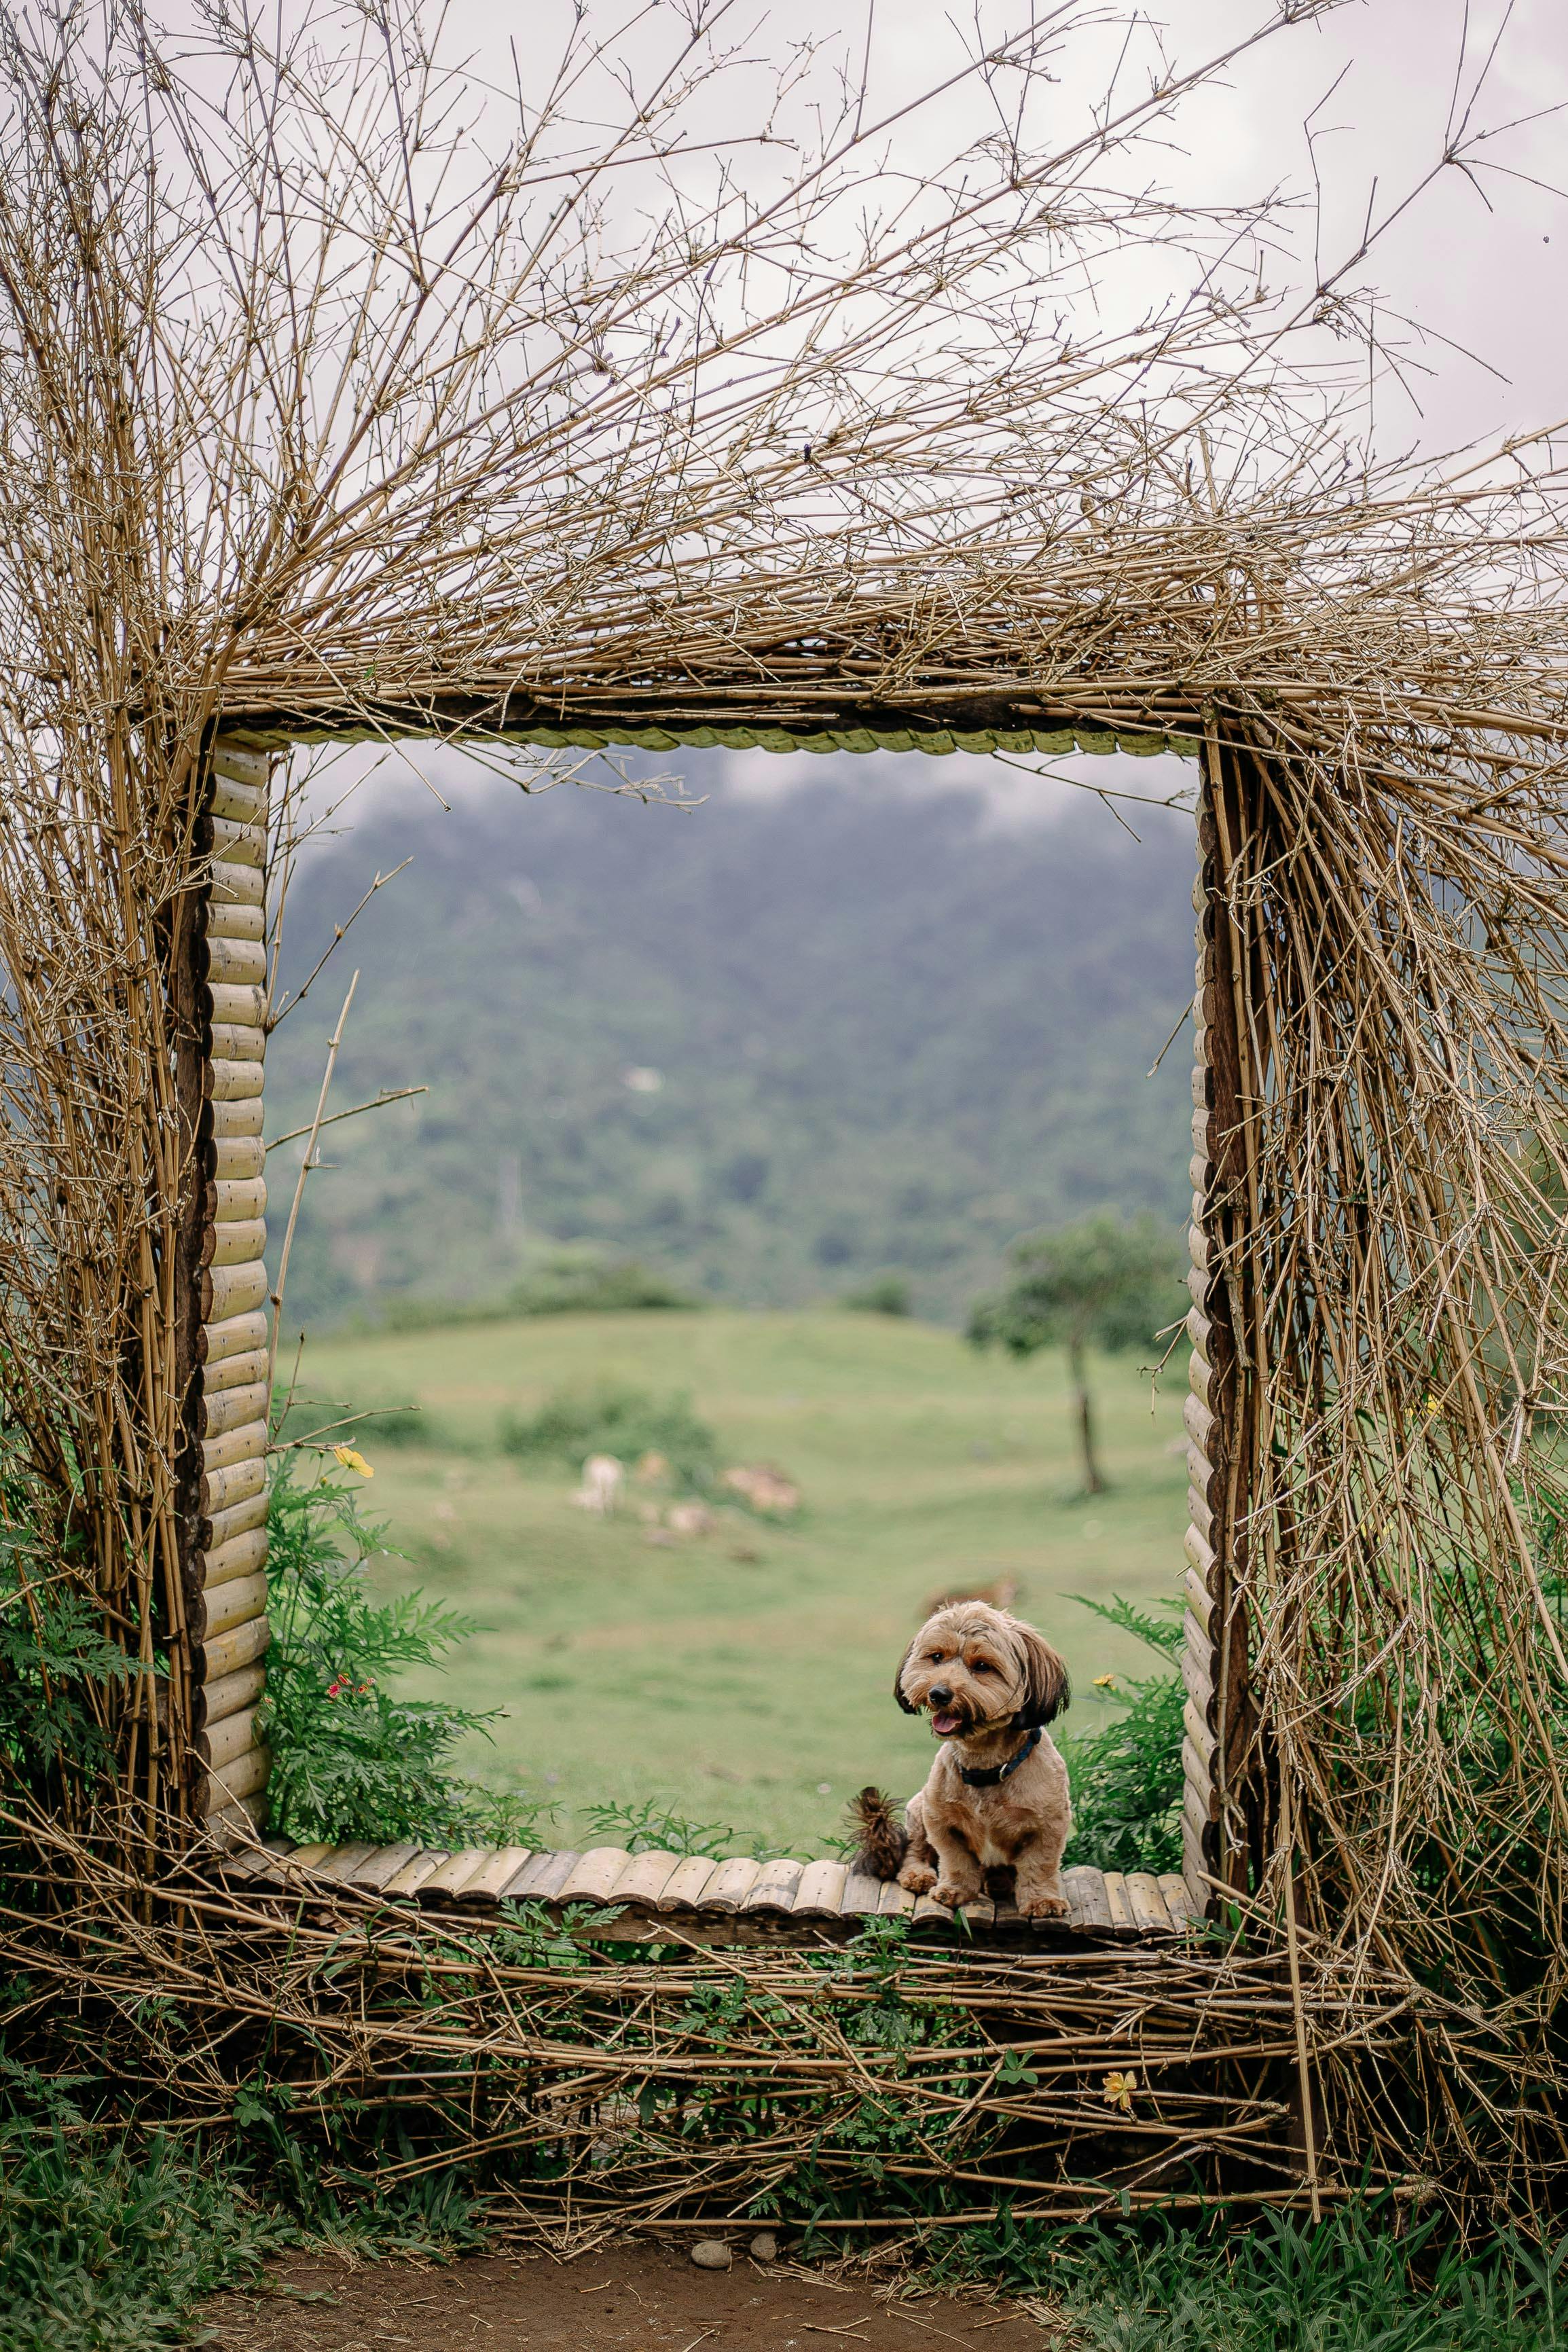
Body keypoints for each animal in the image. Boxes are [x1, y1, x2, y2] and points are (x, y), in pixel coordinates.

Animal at [851, 1599, 1072, 1909]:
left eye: (982, 1666)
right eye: (936, 1657)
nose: (939, 1693)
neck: (985, 1767)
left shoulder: (1049, 1826)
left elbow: (1039, 1865)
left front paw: (1043, 1901)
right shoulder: (940, 1820)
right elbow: (955, 1860)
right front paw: (955, 1890)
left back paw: (999, 1882)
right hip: (918, 1808)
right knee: (914, 1851)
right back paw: (920, 1875)